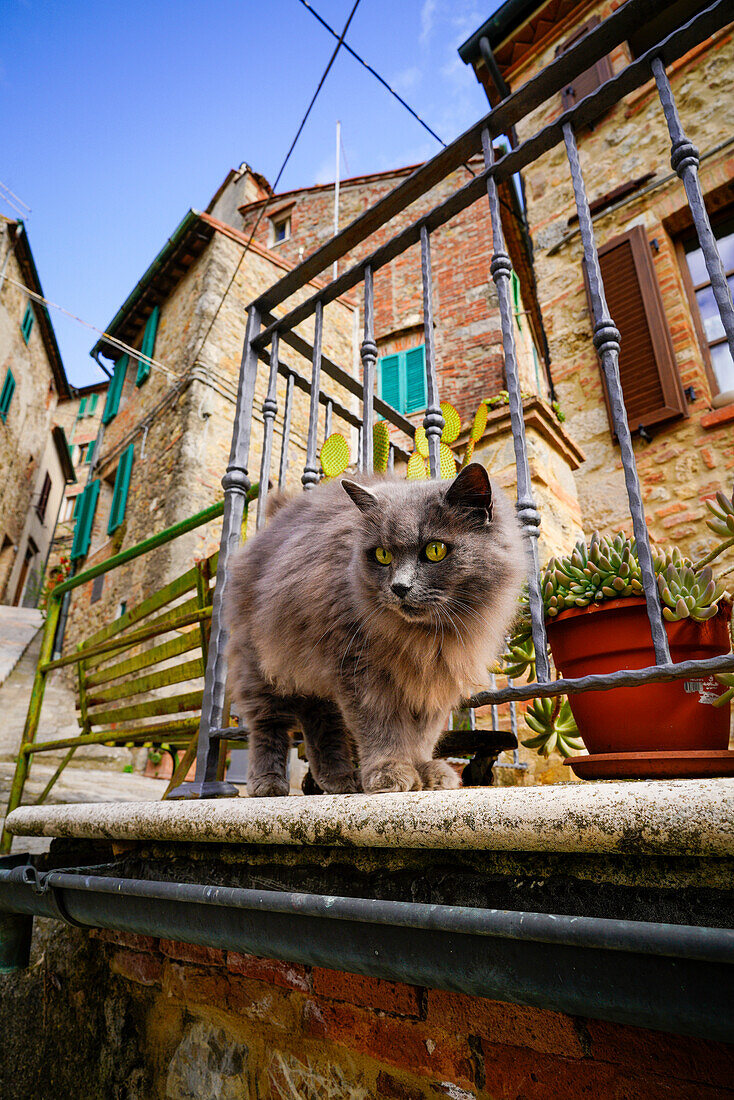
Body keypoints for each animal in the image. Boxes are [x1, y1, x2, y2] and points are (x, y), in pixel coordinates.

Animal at [226, 459, 526, 796]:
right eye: (382, 555)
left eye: (435, 550)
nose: (399, 587)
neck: (426, 638)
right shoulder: (361, 671)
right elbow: (380, 727)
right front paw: (390, 771)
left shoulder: (435, 678)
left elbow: (423, 735)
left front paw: (426, 772)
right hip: (259, 664)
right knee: (268, 724)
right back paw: (269, 783)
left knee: (320, 720)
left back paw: (339, 780)